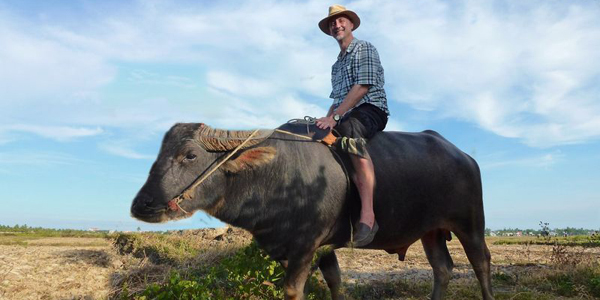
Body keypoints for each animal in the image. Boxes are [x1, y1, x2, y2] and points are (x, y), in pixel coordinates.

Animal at [134, 122, 494, 300]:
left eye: (190, 155)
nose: (142, 205)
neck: (278, 175)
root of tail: (464, 156)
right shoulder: (313, 249)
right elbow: (335, 282)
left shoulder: (305, 247)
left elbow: (294, 291)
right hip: (430, 231)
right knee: (442, 269)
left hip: (470, 224)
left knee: (480, 263)